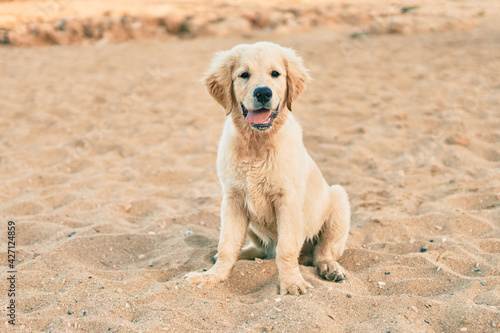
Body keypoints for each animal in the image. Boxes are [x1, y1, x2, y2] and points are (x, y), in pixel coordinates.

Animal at [186, 42, 350, 296]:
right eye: (244, 75)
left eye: (275, 74)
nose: (263, 93)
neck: (257, 144)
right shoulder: (233, 199)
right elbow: (227, 245)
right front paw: (212, 277)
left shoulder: (288, 201)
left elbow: (286, 248)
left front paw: (292, 283)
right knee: (261, 249)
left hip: (339, 200)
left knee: (322, 252)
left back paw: (331, 269)